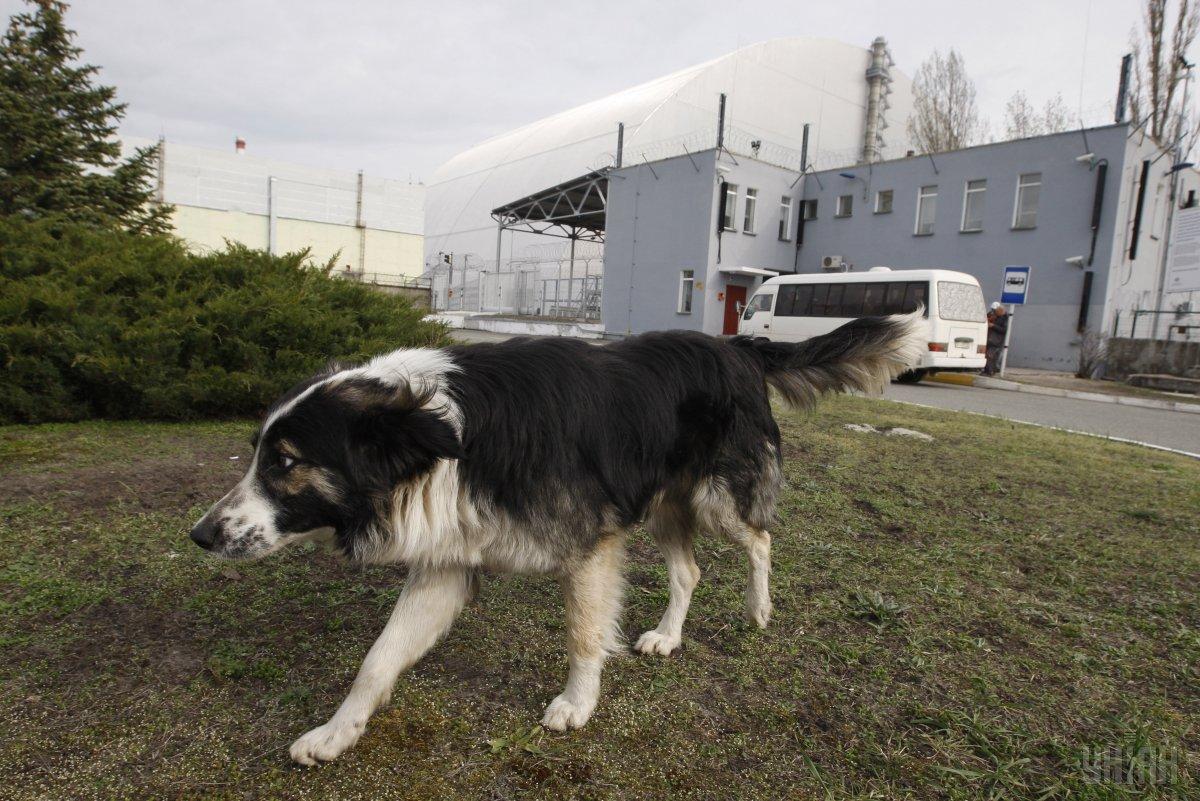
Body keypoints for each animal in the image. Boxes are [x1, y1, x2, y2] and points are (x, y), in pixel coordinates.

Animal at [189, 311, 916, 762]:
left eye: (285, 462)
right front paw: (337, 732)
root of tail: (735, 344)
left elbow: (584, 634)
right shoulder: (446, 564)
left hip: (718, 498)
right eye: (257, 453)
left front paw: (577, 703)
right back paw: (669, 635)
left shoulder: (591, 546)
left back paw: (760, 608)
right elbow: (378, 658)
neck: (449, 438)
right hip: (665, 504)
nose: (199, 534)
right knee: (688, 571)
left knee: (760, 541)